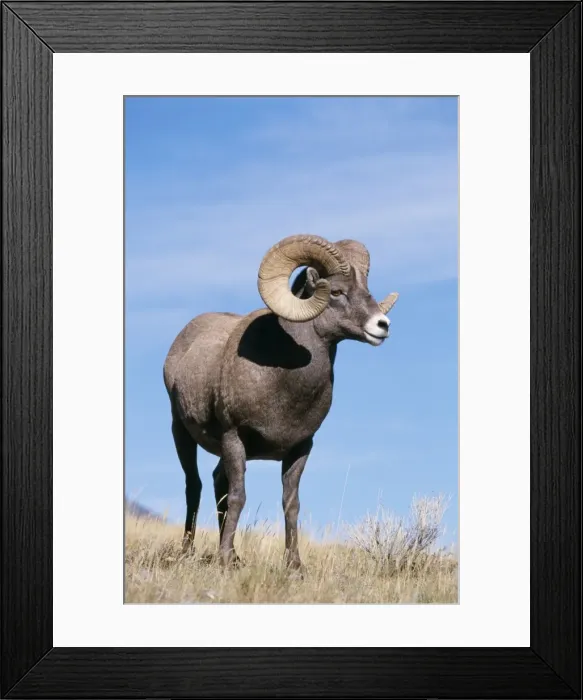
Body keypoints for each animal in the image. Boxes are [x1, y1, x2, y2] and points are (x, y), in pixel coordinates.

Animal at [163, 235, 398, 569]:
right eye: (336, 291)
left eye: (367, 289)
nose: (382, 325)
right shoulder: (234, 437)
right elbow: (239, 497)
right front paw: (224, 561)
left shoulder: (301, 447)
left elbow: (291, 503)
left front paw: (294, 566)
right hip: (181, 432)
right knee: (194, 486)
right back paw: (189, 552)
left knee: (217, 483)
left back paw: (235, 556)